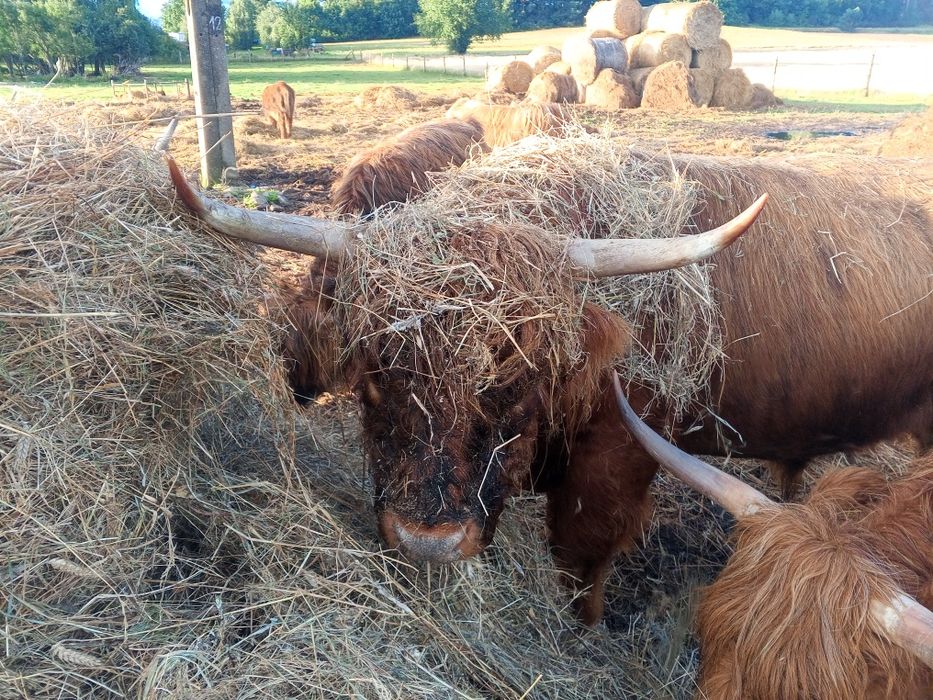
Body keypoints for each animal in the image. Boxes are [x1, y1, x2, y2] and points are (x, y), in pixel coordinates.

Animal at [165, 147, 932, 626]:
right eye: (374, 377)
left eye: (513, 383)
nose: (427, 542)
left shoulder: (618, 453)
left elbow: (580, 552)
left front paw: (581, 629)